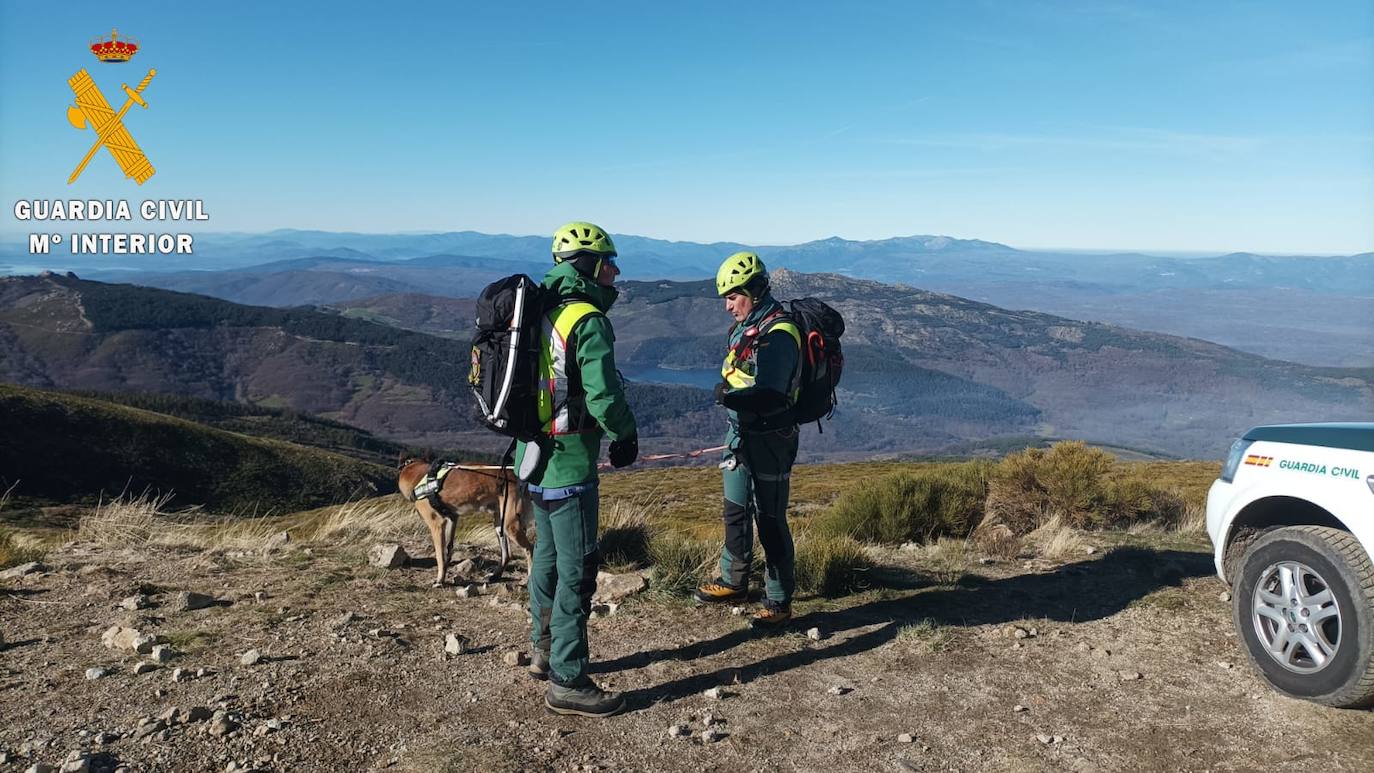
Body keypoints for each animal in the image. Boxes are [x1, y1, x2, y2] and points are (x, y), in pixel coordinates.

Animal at [398, 458, 530, 587]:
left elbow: (439, 555)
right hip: (499, 524)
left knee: (529, 549)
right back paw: (495, 576)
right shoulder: (452, 519)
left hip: (510, 525)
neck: (417, 474)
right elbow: (448, 550)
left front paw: (439, 580)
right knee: (507, 554)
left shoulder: (437, 524)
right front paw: (444, 574)